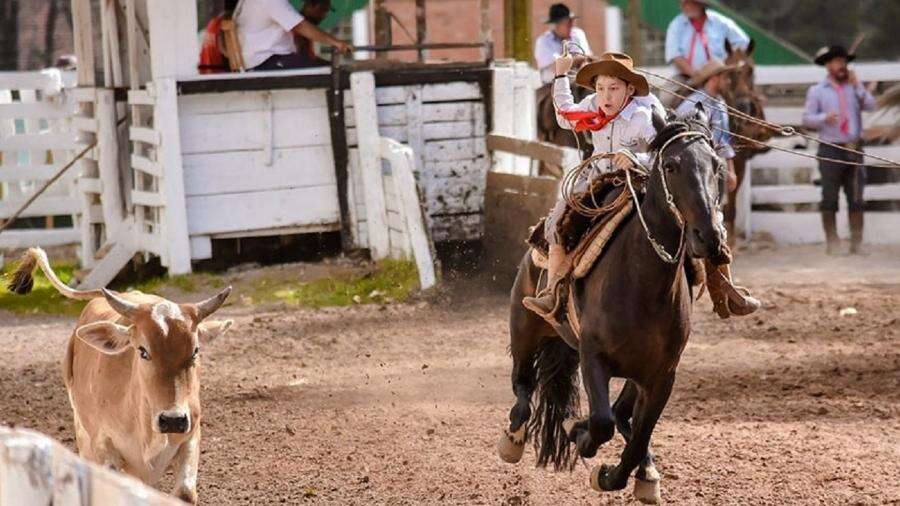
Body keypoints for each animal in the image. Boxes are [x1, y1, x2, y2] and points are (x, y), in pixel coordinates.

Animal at [7, 248, 232, 502]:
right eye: (142, 350)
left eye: (195, 351)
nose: (172, 419)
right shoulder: (105, 447)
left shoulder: (191, 435)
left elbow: (184, 492)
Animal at [496, 108, 728, 504]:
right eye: (670, 165)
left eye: (715, 165)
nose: (708, 236)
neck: (642, 286)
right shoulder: (593, 358)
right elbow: (601, 423)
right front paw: (579, 432)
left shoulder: (662, 376)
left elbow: (635, 436)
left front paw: (613, 475)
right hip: (525, 327)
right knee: (523, 387)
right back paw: (513, 439)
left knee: (622, 415)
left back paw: (646, 470)